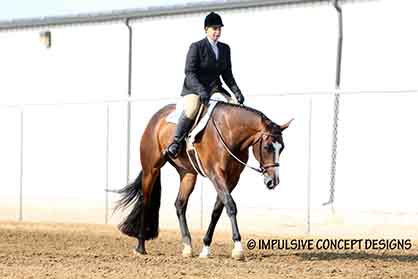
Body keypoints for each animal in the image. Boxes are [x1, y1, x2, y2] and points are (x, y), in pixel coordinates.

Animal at [112, 100, 292, 260]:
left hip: (188, 174)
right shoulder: (216, 174)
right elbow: (231, 205)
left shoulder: (232, 179)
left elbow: (217, 210)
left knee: (180, 204)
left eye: (282, 148)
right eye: (267, 147)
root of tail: (155, 118)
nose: (273, 181)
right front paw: (238, 248)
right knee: (146, 201)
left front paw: (205, 249)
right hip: (151, 169)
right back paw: (140, 246)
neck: (229, 132)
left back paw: (187, 246)